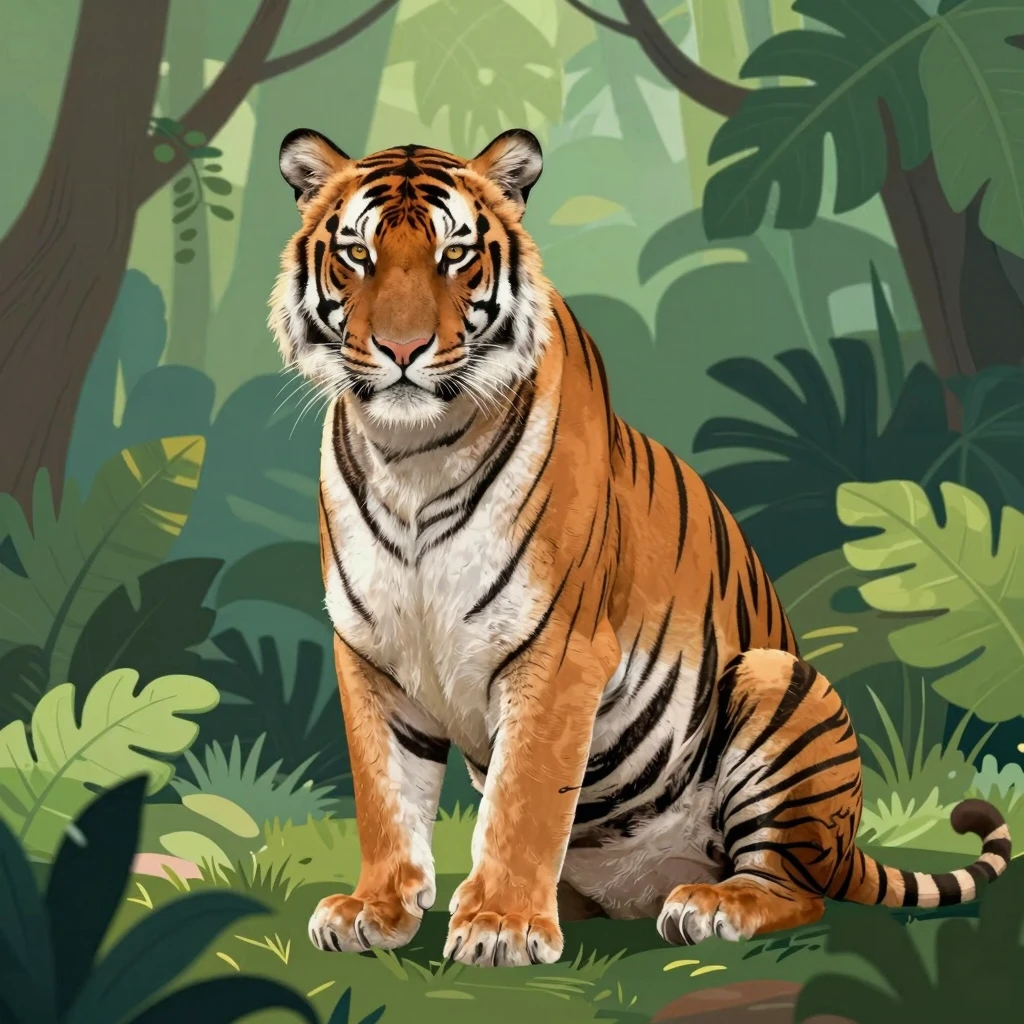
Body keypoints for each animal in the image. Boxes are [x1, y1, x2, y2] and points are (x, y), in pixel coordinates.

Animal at [269, 126, 1012, 968]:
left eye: (454, 255)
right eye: (357, 254)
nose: (402, 348)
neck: (412, 456)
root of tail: (847, 842)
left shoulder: (556, 649)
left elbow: (524, 801)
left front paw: (500, 925)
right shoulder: (371, 655)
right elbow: (384, 794)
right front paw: (375, 909)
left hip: (774, 683)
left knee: (796, 889)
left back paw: (710, 906)